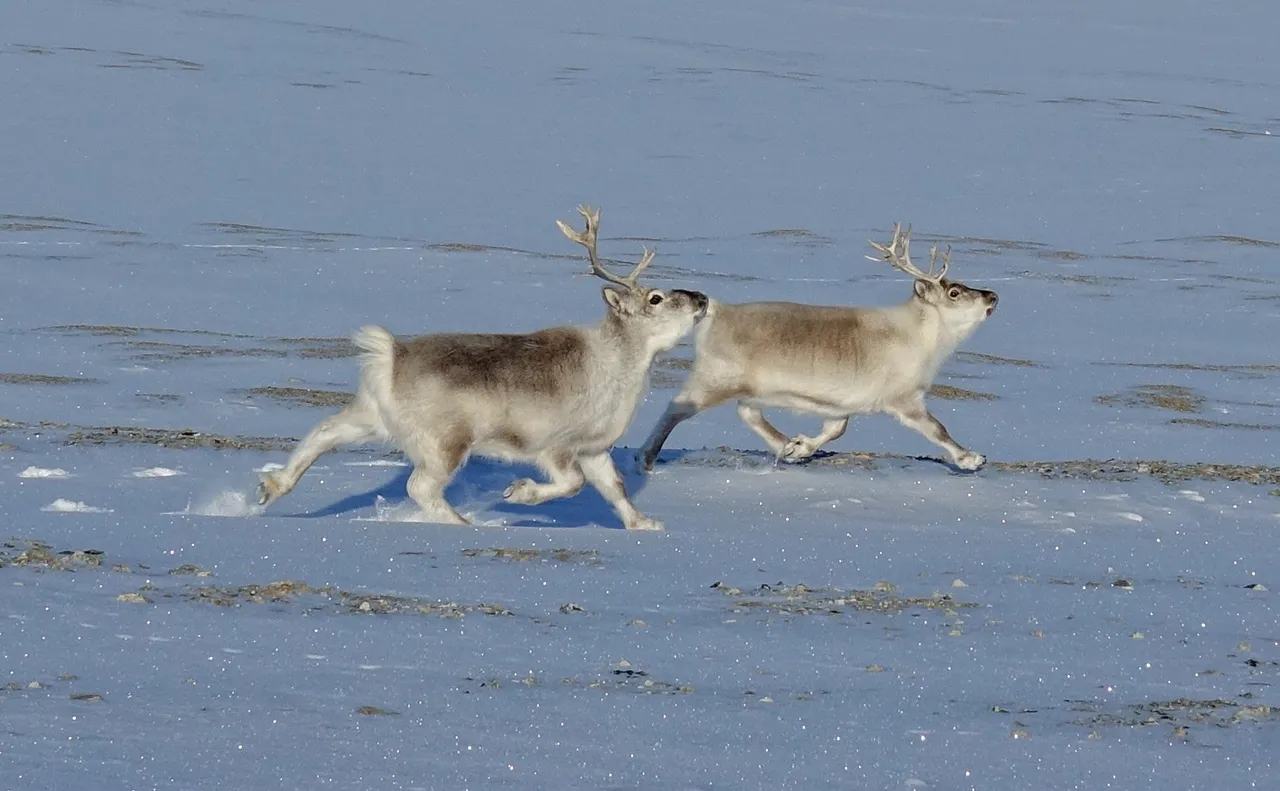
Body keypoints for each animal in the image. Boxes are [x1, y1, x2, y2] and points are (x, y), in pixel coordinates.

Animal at [256, 206, 709, 531]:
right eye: (654, 298)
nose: (702, 298)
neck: (620, 361)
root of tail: (393, 357)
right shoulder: (555, 447)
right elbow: (572, 484)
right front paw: (518, 493)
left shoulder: (595, 448)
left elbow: (616, 490)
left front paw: (646, 524)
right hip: (445, 443)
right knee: (420, 487)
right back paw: (465, 523)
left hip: (371, 417)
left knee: (324, 431)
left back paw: (270, 488)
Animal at [637, 222, 999, 473]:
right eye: (954, 292)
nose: (992, 296)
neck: (921, 336)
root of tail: (718, 310)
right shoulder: (903, 398)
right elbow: (936, 428)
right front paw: (971, 458)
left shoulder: (842, 403)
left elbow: (836, 429)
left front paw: (800, 446)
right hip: (715, 378)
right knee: (676, 408)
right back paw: (646, 457)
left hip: (751, 387)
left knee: (746, 411)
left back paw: (784, 446)